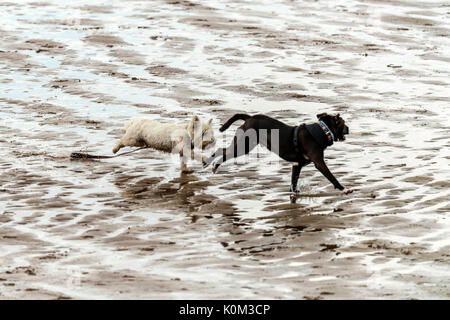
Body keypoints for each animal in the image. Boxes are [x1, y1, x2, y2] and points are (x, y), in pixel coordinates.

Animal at [202, 112, 354, 198]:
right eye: (343, 123)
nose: (349, 128)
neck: (323, 131)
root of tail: (249, 118)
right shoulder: (319, 163)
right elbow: (332, 177)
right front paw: (344, 189)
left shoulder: (297, 165)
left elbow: (294, 181)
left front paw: (295, 193)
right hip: (244, 145)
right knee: (222, 151)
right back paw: (212, 164)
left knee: (222, 150)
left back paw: (207, 163)